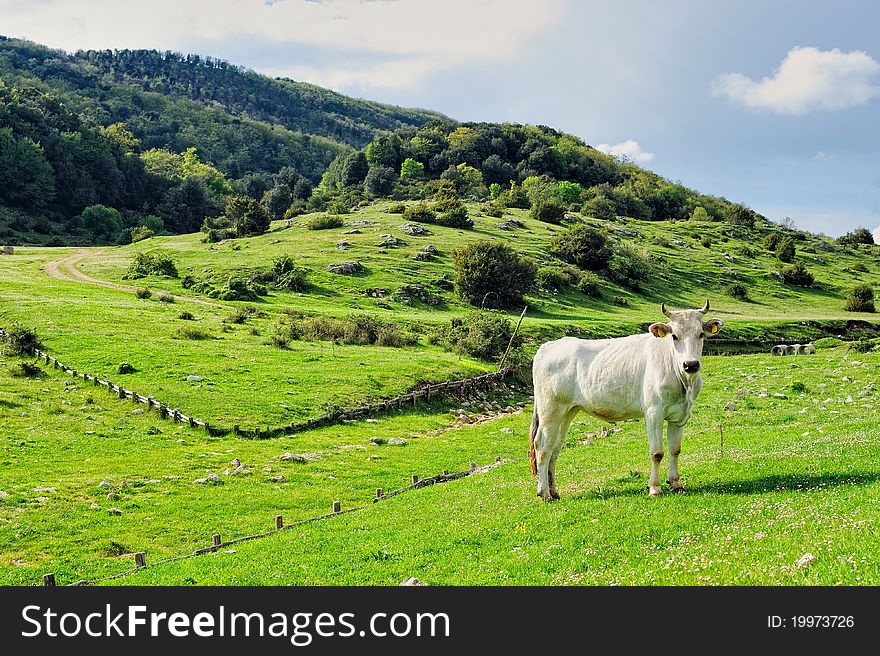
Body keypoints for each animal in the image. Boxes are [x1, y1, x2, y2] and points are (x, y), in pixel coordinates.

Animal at [528, 302, 720, 498]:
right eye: (674, 336)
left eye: (701, 334)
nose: (690, 365)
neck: (683, 382)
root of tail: (548, 346)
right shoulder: (653, 411)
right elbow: (657, 452)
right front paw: (655, 488)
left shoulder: (680, 415)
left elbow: (675, 450)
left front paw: (676, 484)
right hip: (550, 410)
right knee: (542, 447)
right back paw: (544, 493)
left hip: (567, 411)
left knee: (554, 448)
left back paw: (554, 492)